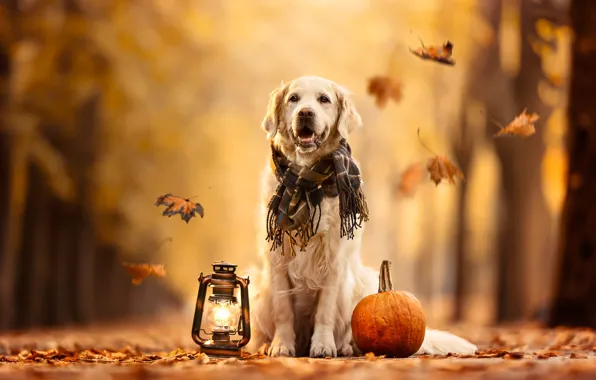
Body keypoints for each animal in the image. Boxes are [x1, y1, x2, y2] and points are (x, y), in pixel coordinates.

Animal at [246, 75, 474, 358]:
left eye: (324, 99)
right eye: (293, 99)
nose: (305, 113)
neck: (307, 181)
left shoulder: (333, 259)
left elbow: (325, 310)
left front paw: (323, 345)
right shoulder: (277, 259)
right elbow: (283, 309)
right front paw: (281, 345)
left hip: (360, 284)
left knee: (349, 332)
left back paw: (343, 346)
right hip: (258, 288)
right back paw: (268, 343)